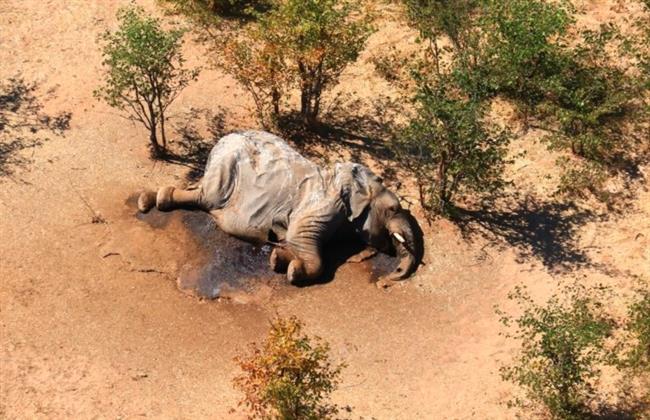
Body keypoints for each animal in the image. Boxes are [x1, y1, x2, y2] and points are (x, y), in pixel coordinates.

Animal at [137, 131, 422, 288]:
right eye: (393, 208)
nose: (389, 279)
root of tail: (223, 138)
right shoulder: (324, 204)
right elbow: (301, 239)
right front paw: (293, 271)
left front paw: (278, 258)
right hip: (226, 166)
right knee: (206, 197)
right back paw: (152, 201)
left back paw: (149, 200)